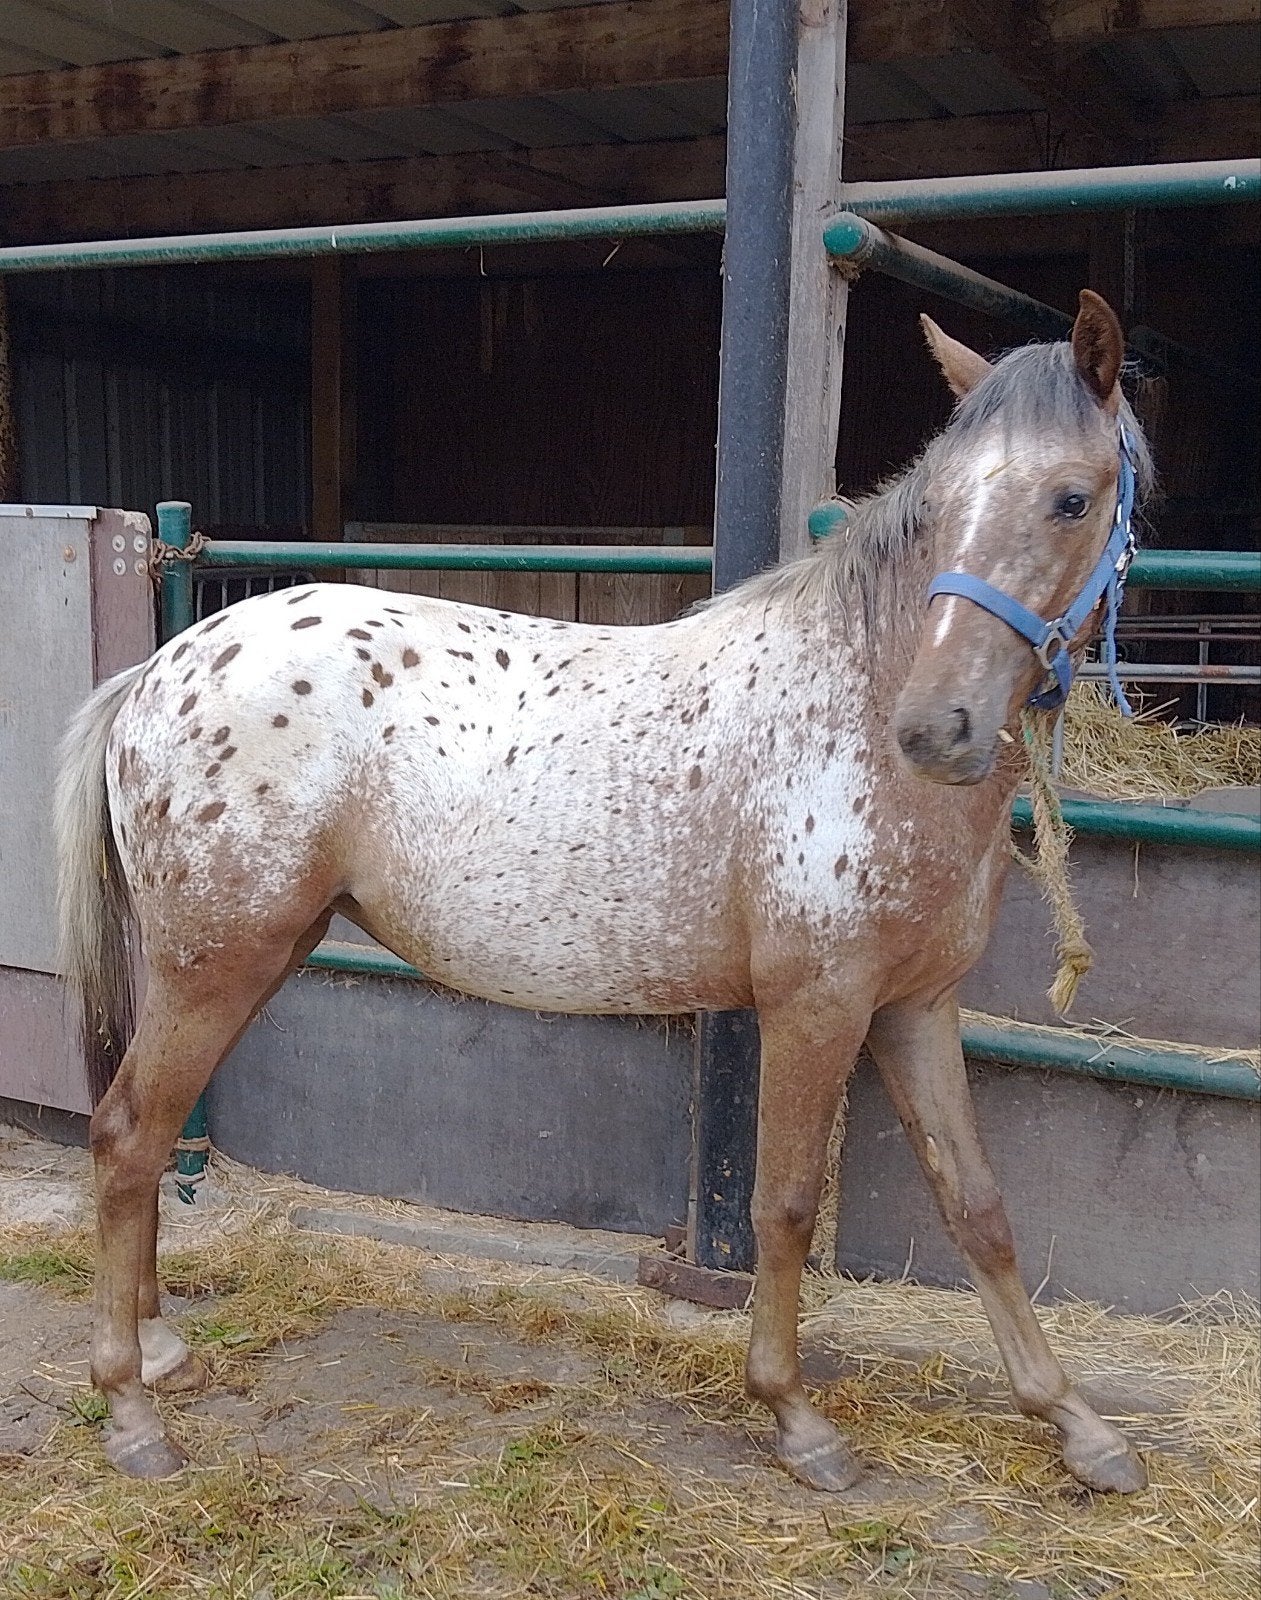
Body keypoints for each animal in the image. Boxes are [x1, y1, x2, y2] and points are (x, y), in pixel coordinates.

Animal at [55, 289, 1153, 1493]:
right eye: (942, 502)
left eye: (1071, 498)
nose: (936, 728)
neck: (853, 709)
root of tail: (160, 669)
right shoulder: (816, 1008)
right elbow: (781, 1204)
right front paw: (794, 1416)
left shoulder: (914, 1007)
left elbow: (979, 1208)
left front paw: (1077, 1424)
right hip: (217, 961)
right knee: (125, 1137)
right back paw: (128, 1406)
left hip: (252, 956)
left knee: (149, 1133)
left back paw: (163, 1351)